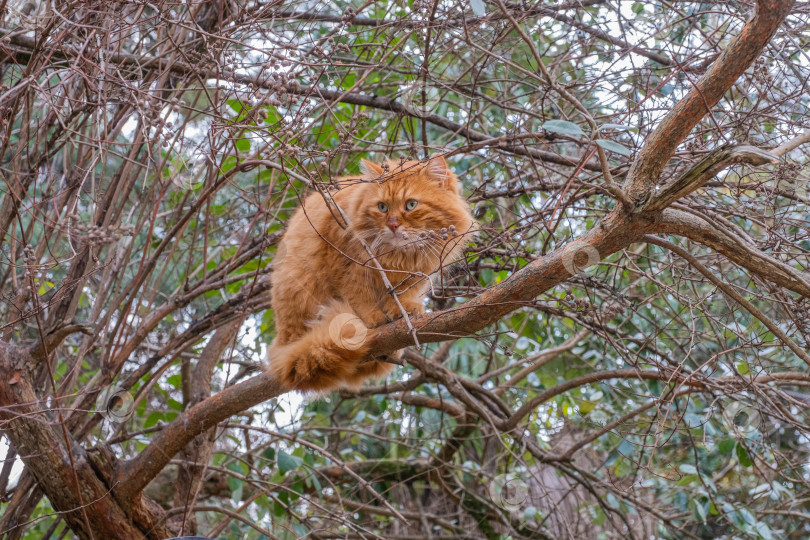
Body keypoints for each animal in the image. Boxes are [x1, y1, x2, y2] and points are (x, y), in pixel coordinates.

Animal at [266, 157, 474, 392]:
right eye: (382, 207)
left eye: (411, 205)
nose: (393, 224)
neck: (397, 256)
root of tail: (282, 343)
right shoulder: (345, 265)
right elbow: (360, 297)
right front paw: (373, 319)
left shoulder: (416, 276)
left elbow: (402, 296)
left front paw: (405, 311)